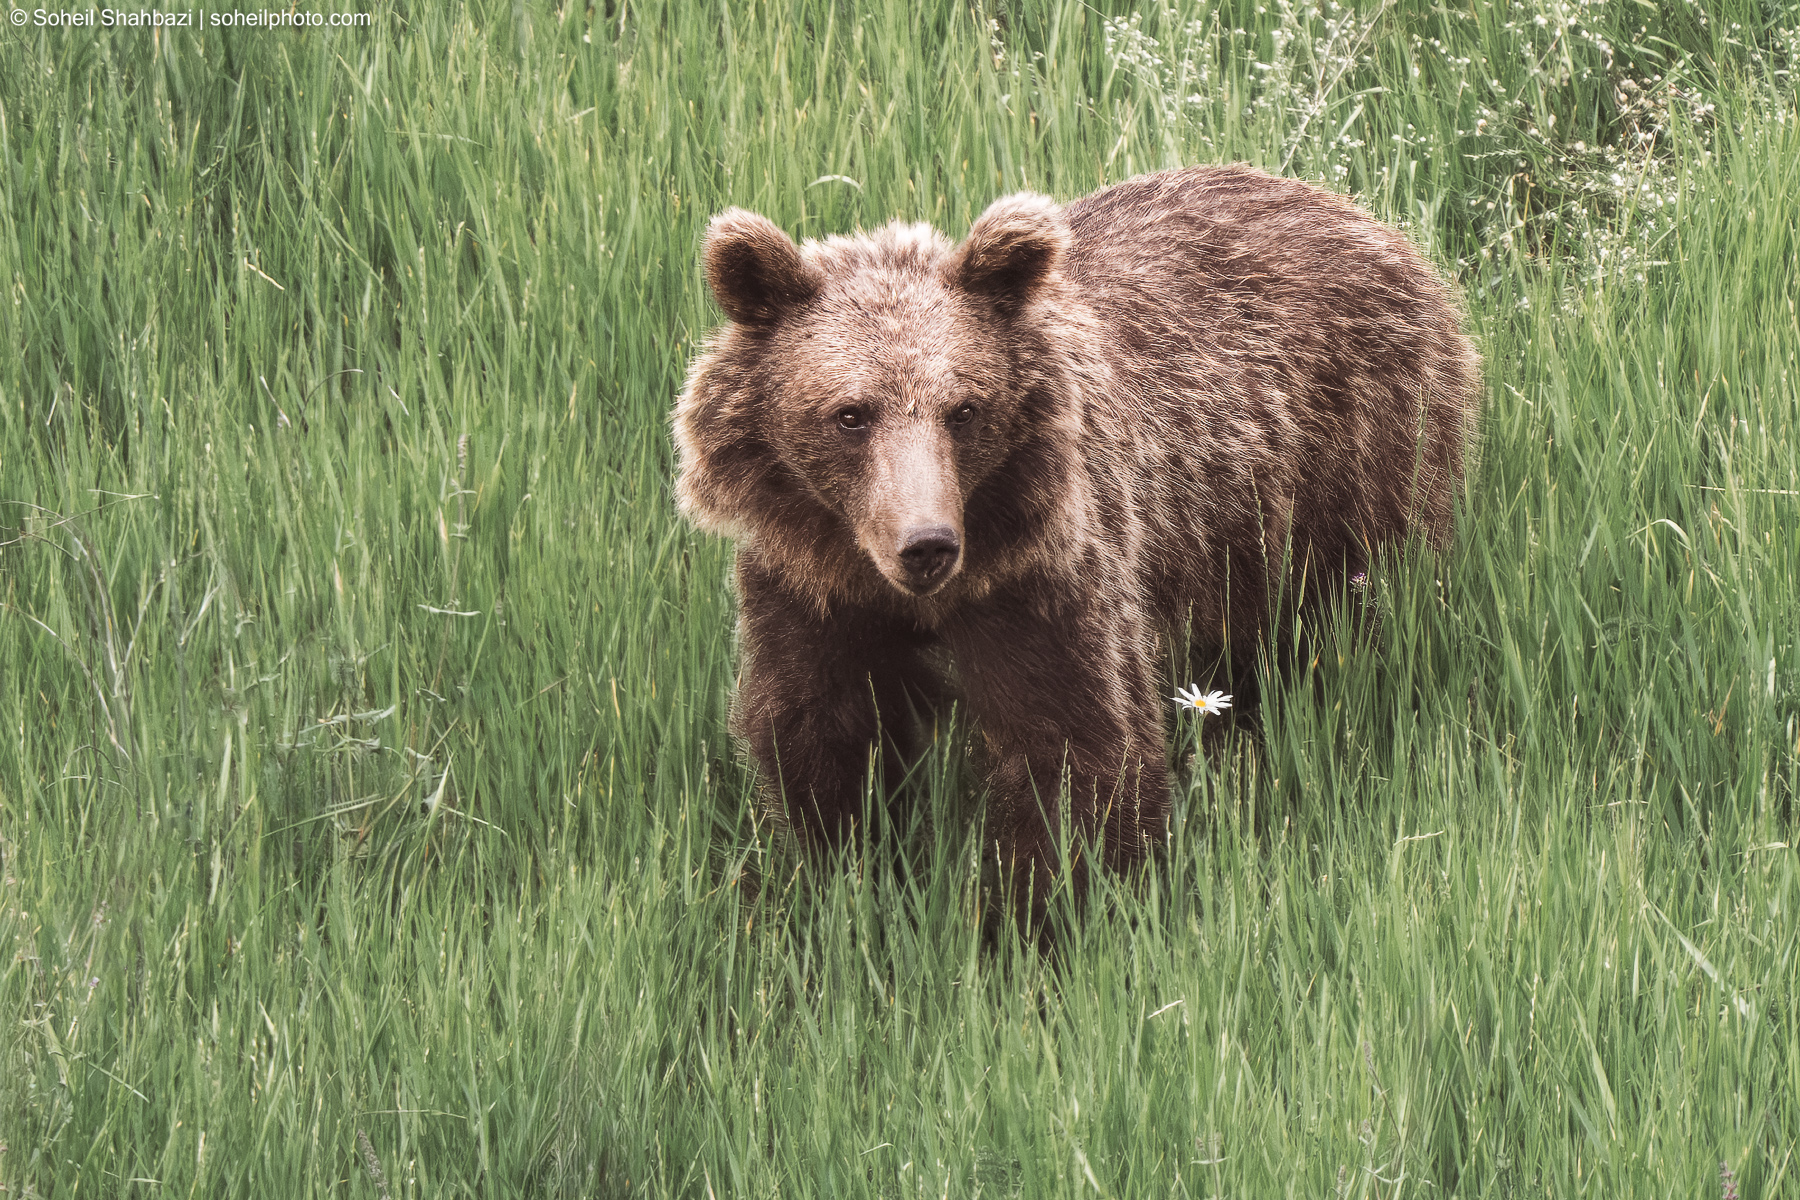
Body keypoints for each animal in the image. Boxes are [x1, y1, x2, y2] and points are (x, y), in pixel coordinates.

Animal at [674, 164, 1478, 915]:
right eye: (850, 414)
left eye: (964, 409)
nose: (927, 543)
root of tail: (1360, 218)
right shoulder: (811, 588)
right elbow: (822, 735)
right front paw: (850, 883)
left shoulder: (1043, 575)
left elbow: (1074, 747)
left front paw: (1034, 922)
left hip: (1352, 463)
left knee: (1343, 625)